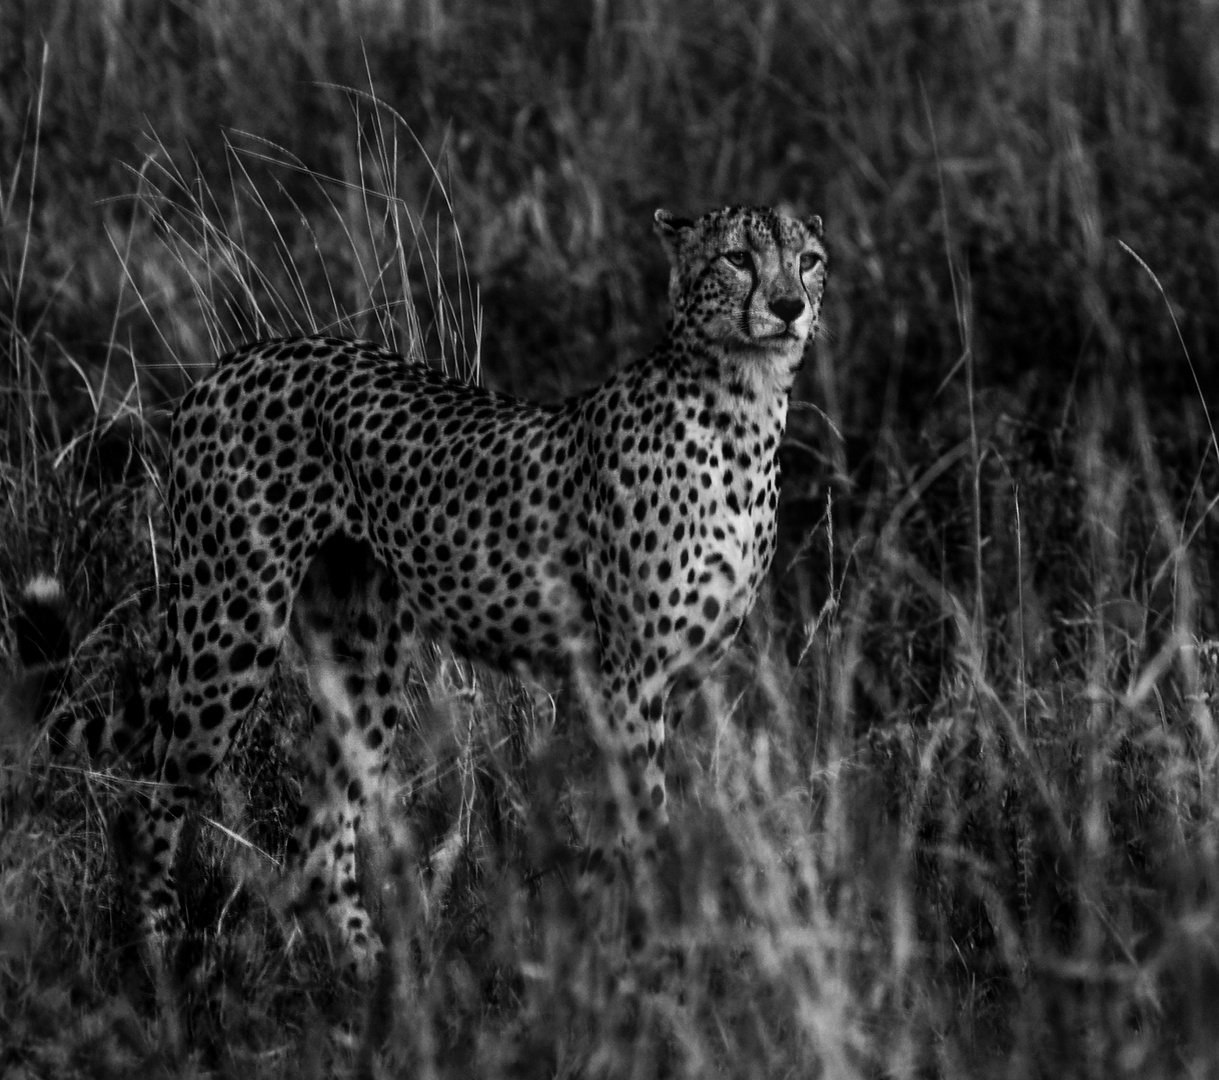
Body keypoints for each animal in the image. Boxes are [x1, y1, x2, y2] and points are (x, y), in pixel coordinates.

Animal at [118, 201, 828, 970]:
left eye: (808, 260)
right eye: (737, 258)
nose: (788, 306)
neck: (742, 409)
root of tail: (233, 361)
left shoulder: (673, 683)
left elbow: (634, 825)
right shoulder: (628, 678)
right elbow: (635, 823)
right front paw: (633, 960)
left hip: (361, 662)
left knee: (320, 838)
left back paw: (377, 974)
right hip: (231, 625)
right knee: (153, 785)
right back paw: (155, 950)